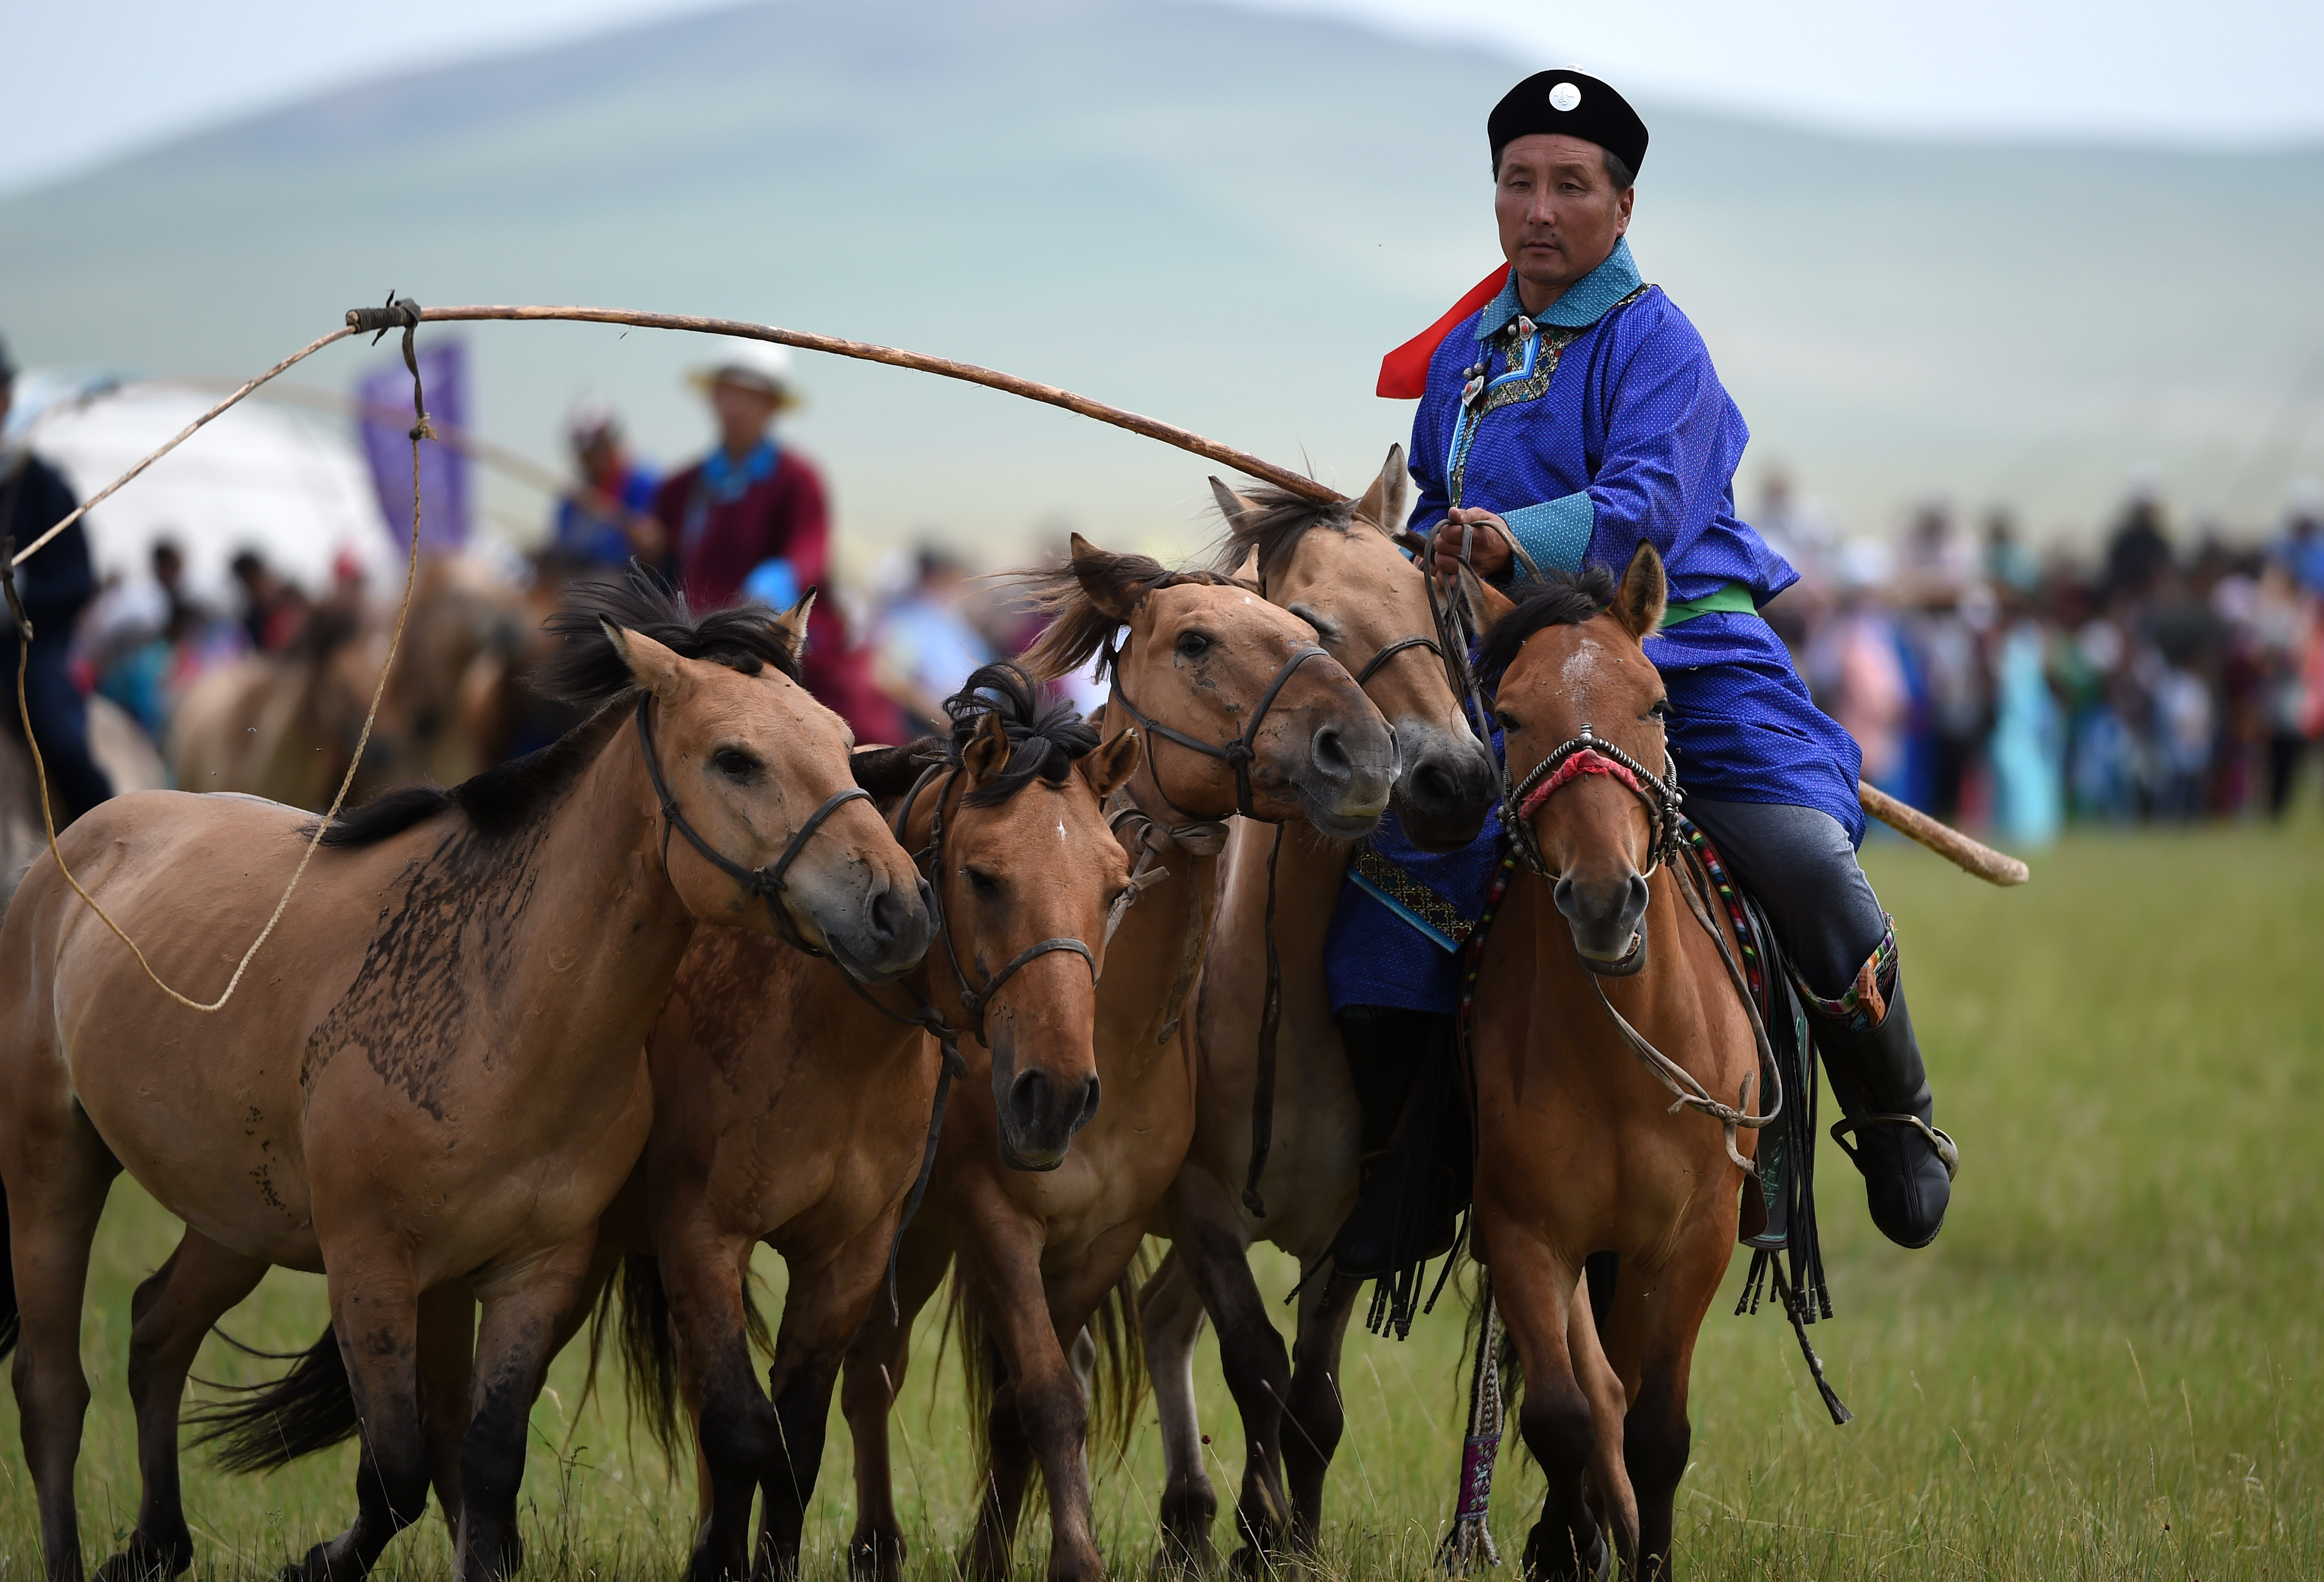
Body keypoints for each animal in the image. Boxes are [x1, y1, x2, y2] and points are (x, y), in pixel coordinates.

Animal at [0, 571, 934, 1579]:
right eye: (736, 759)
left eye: (842, 739)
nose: (897, 907)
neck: (505, 1012)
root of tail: (70, 848)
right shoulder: (369, 1265)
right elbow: (400, 1467)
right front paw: (321, 1559)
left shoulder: (535, 1268)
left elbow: (485, 1459)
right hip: (51, 1167)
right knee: (51, 1387)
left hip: (233, 1214)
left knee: (155, 1330)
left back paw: (155, 1543)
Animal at [841, 534, 1394, 1579]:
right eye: (1196, 641)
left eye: (1303, 625)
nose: (1368, 752)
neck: (1101, 1035)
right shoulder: (998, 1219)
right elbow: (1048, 1395)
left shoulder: (1107, 1231)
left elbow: (1028, 1403)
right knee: (870, 1372)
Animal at [1469, 539, 1757, 1570]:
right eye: (1511, 715)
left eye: (1656, 703)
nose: (1603, 899)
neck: (1619, 1064)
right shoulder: (1522, 1231)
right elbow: (1566, 1414)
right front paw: (1564, 1546)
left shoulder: (1693, 1236)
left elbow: (1656, 1430)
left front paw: (1646, 1556)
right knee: (1596, 1390)